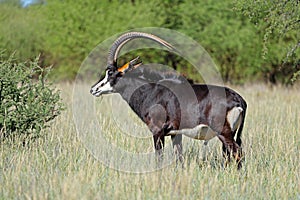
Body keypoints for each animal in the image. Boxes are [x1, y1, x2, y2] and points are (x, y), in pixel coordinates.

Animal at [90, 31, 247, 169]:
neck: (151, 91)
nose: (93, 89)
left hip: (224, 132)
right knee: (229, 154)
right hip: (231, 133)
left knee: (237, 153)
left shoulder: (157, 131)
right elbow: (179, 157)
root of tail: (239, 99)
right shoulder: (175, 134)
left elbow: (159, 158)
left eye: (111, 73)